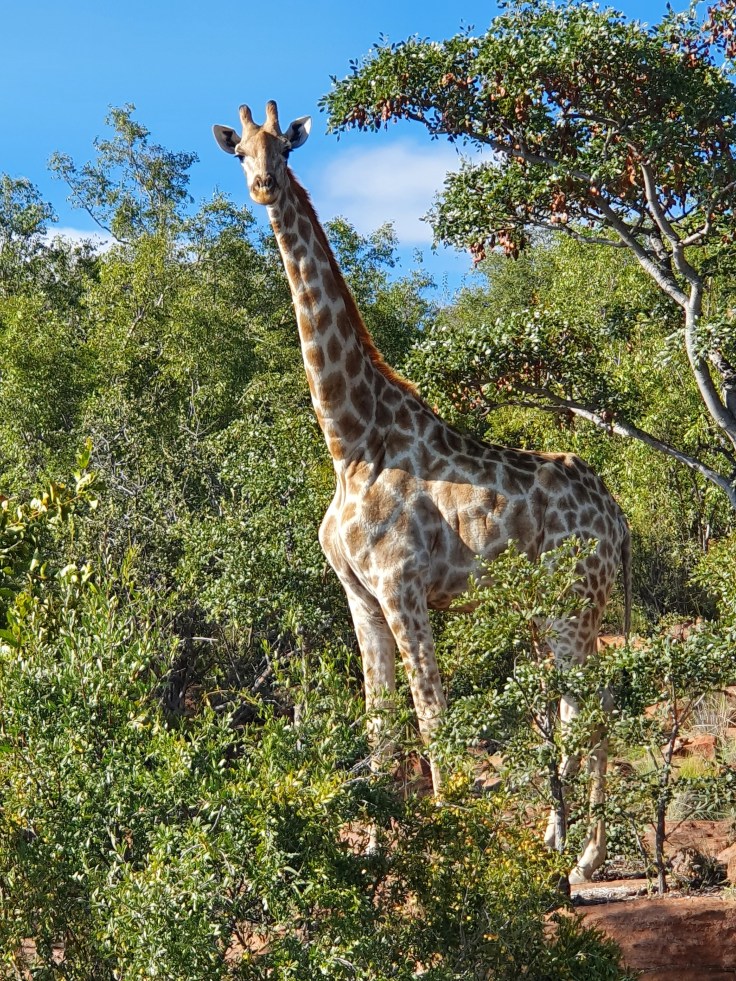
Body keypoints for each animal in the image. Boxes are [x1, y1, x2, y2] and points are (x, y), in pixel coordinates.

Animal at [213, 101, 631, 883]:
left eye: (284, 149)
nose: (262, 186)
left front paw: (449, 847)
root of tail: (619, 518)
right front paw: (376, 851)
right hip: (555, 614)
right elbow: (380, 727)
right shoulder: (359, 595)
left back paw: (587, 858)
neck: (349, 442)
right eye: (241, 152)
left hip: (571, 607)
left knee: (591, 709)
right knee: (571, 710)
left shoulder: (402, 585)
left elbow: (433, 718)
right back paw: (558, 842)